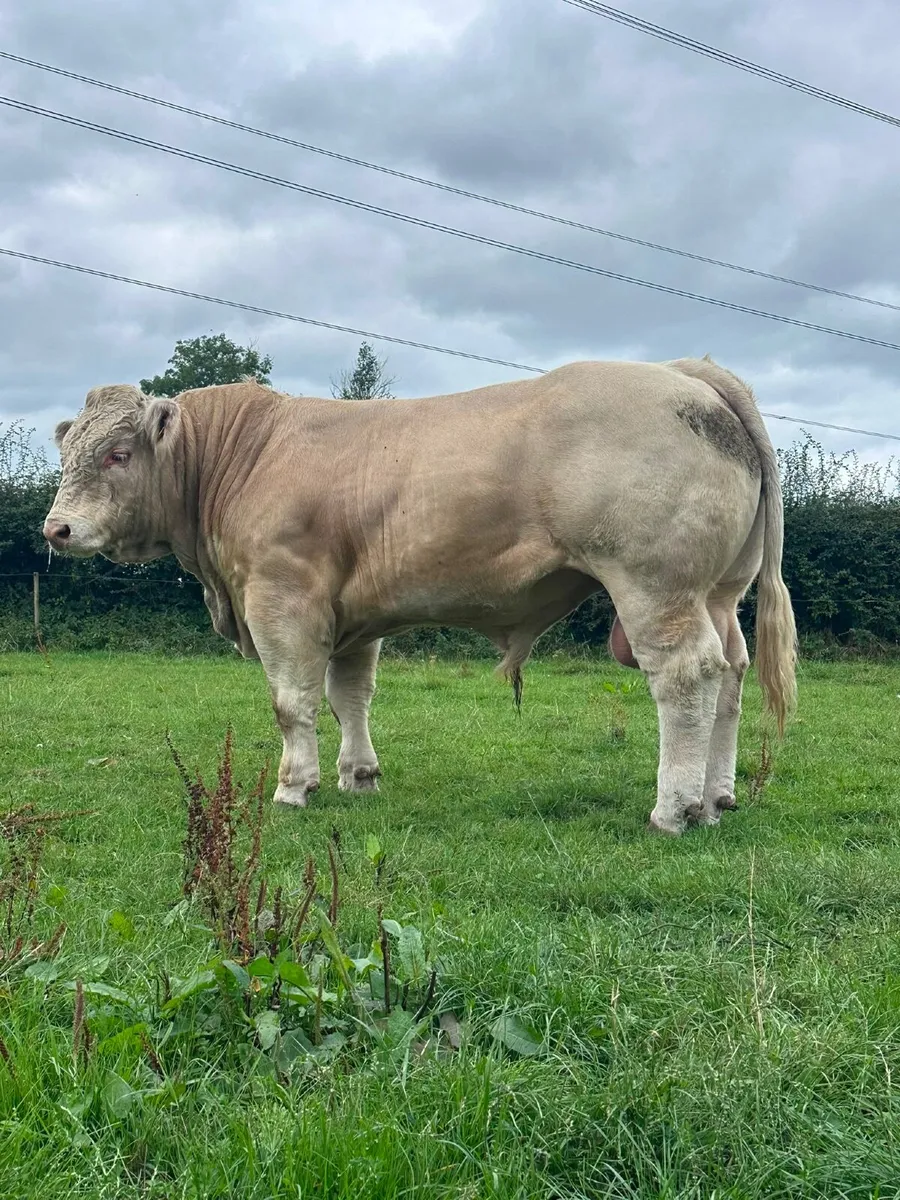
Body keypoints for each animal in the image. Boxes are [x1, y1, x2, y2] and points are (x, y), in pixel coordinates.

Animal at [44, 356, 796, 835]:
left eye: (117, 454)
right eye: (67, 453)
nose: (57, 528)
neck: (243, 455)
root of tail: (687, 371)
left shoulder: (283, 598)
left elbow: (292, 701)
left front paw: (294, 786)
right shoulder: (350, 615)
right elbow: (350, 696)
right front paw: (357, 775)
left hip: (656, 586)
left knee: (686, 675)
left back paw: (674, 809)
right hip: (720, 592)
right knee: (731, 674)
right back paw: (717, 797)